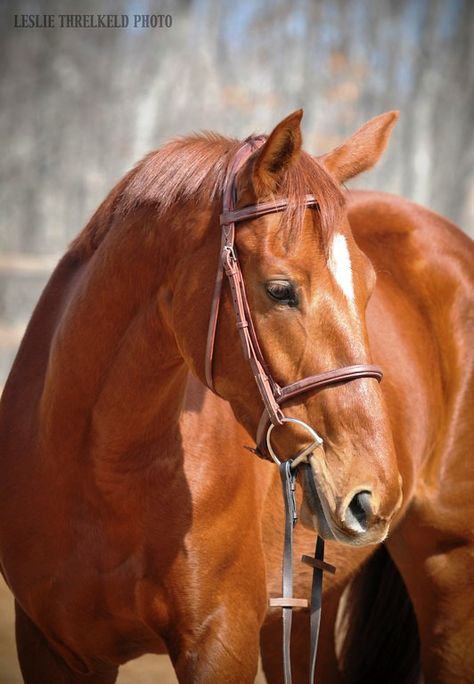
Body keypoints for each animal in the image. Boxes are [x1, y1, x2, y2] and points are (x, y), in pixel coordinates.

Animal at [0, 109, 472, 680]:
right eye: (280, 290)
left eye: (370, 288)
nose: (373, 495)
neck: (100, 473)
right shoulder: (52, 647)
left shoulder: (220, 643)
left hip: (449, 571)